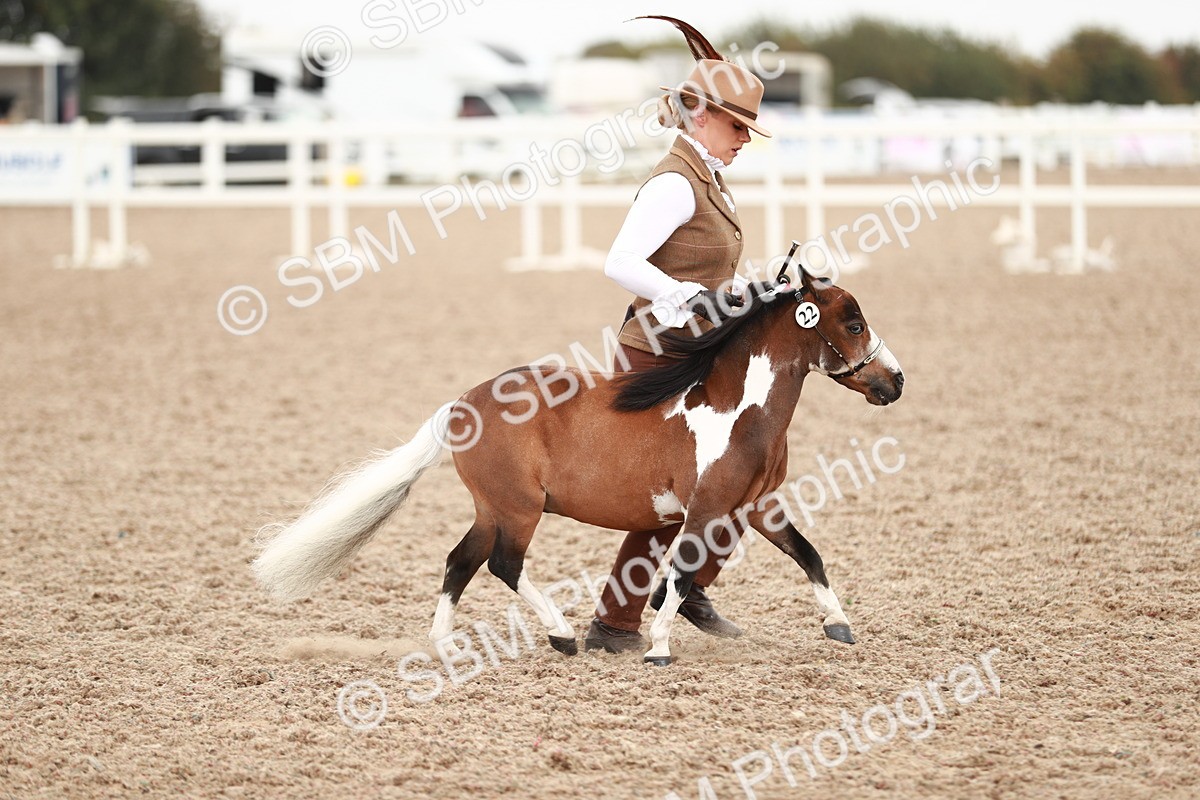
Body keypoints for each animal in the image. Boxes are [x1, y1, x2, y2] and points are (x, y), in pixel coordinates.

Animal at [251, 264, 904, 665]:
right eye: (853, 322)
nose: (895, 381)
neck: (737, 409)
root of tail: (462, 405)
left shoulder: (756, 506)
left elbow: (808, 555)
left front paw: (839, 626)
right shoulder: (706, 511)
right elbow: (679, 576)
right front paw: (659, 647)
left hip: (493, 508)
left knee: (460, 561)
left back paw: (447, 647)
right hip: (519, 509)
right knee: (503, 564)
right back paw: (561, 635)